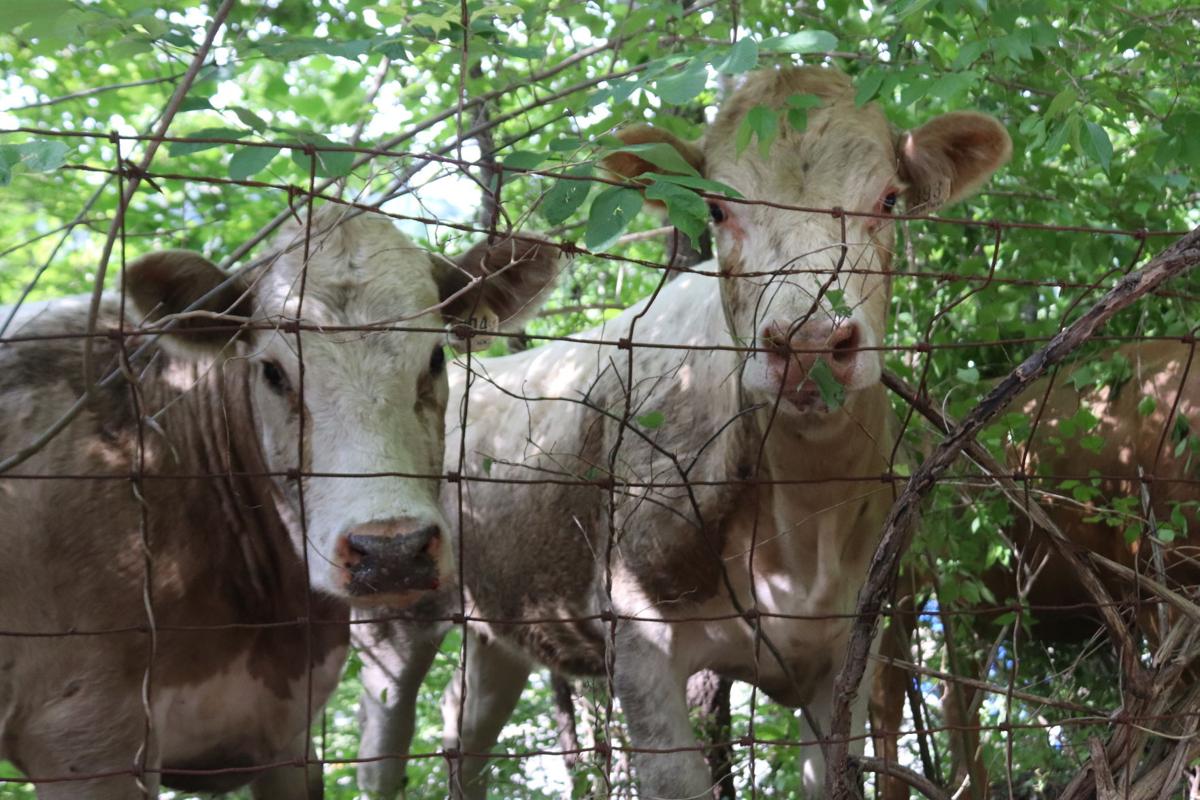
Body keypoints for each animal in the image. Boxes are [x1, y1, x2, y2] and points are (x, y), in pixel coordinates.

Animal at [353, 65, 1012, 799]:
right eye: (718, 210)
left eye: (889, 199)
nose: (810, 342)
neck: (800, 530)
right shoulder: (640, 643)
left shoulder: (846, 651)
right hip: (390, 617)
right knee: (382, 745)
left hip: (502, 619)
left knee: (463, 726)